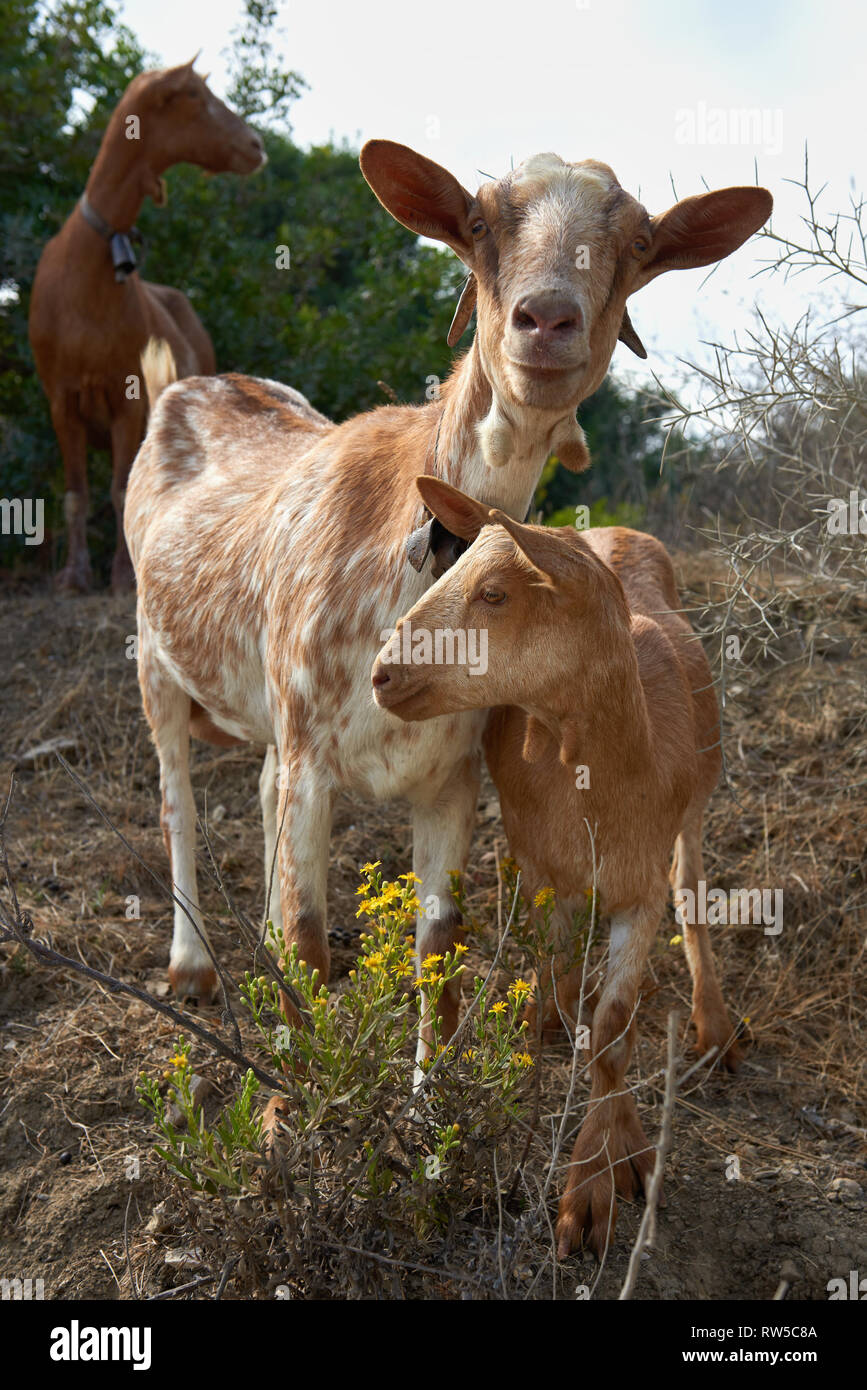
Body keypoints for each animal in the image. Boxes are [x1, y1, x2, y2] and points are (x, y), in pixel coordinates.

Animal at [29, 58, 263, 592]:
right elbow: (75, 493)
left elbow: (120, 488)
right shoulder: (61, 399)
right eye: (194, 95)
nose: (257, 144)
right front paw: (74, 574)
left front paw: (120, 574)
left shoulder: (126, 396)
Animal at [127, 138, 766, 1061]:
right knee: (176, 795)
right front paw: (301, 1078)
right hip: (153, 657)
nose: (546, 321)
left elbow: (438, 951)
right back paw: (192, 966)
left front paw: (430, 1096)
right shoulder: (314, 755)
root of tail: (192, 383)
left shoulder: (449, 780)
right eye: (477, 222)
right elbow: (313, 938)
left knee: (258, 793)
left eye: (641, 242)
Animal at [372, 480, 739, 1262]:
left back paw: (715, 1026)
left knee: (693, 892)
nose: (381, 675)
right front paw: (605, 1166)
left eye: (495, 594)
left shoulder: (640, 892)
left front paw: (596, 1186)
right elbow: (578, 1000)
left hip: (699, 801)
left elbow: (614, 1026)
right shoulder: (548, 880)